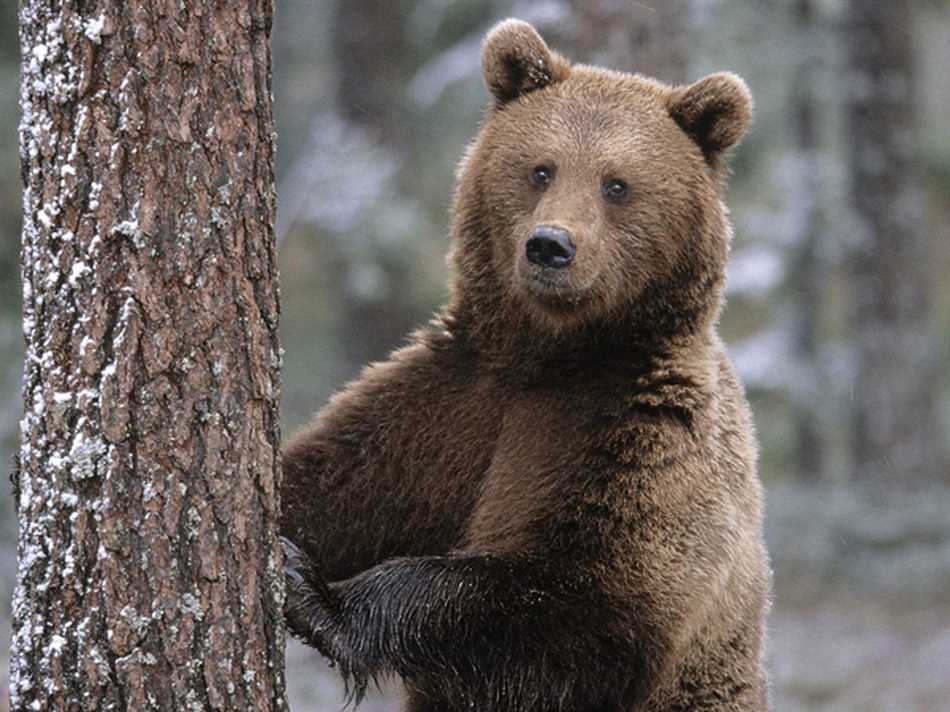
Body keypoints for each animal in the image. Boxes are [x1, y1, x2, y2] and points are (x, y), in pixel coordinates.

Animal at [282, 16, 772, 712]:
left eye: (617, 184)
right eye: (541, 169)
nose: (550, 245)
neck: (551, 354)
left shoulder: (638, 437)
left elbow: (577, 606)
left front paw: (319, 598)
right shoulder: (448, 405)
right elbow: (330, 482)